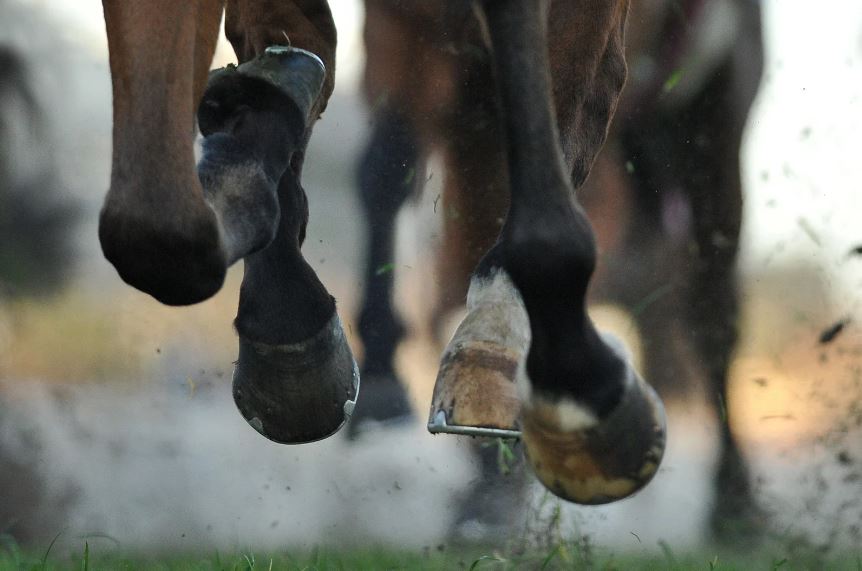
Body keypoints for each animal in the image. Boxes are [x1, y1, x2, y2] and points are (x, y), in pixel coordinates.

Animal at [349, 0, 763, 538]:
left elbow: (562, 115)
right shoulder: (400, 28)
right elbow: (382, 168)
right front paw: (384, 377)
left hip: (716, 120)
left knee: (713, 310)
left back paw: (735, 505)